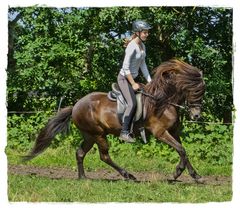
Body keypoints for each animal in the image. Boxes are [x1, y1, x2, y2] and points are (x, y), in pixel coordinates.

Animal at [23, 58, 205, 182]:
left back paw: (83, 178)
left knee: (80, 152)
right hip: (98, 134)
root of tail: (75, 106)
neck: (163, 102)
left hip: (90, 135)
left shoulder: (173, 132)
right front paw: (176, 173)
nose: (196, 116)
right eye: (195, 91)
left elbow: (183, 151)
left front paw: (195, 175)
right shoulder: (160, 132)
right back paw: (128, 175)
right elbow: (181, 150)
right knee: (104, 156)